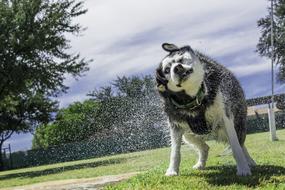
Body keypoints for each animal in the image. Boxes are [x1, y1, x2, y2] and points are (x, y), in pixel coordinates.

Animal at [155, 43, 255, 177]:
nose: (177, 68)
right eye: (166, 70)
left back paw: (249, 161)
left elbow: (235, 146)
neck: (194, 100)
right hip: (188, 134)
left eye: (180, 60)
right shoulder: (175, 124)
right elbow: (175, 151)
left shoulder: (225, 118)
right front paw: (172, 171)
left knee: (241, 143)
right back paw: (200, 164)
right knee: (204, 147)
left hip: (238, 123)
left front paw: (243, 169)